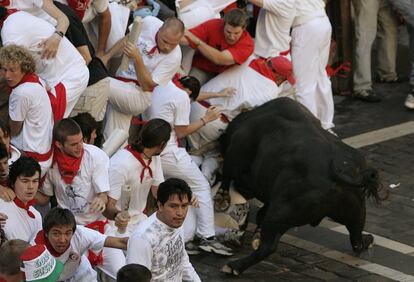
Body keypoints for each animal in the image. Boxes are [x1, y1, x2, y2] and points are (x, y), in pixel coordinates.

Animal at [215, 97, 384, 276]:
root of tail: (338, 171)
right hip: (357, 212)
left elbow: (227, 175)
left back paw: (234, 266)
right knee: (356, 239)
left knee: (268, 247)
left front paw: (222, 197)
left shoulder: (235, 155)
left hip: (278, 216)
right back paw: (368, 240)